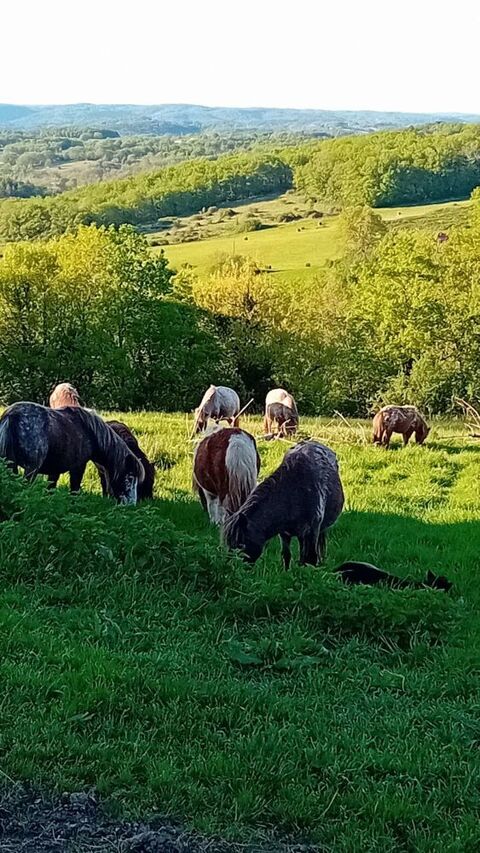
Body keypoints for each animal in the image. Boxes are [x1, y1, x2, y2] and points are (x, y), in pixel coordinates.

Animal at [0, 402, 144, 504]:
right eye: (130, 477)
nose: (131, 504)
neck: (89, 431)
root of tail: (11, 416)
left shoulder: (55, 470)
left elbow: (50, 489)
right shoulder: (78, 467)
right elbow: (74, 490)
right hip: (31, 469)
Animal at [223, 440, 344, 569]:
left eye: (241, 544)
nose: (230, 567)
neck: (295, 492)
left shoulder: (312, 532)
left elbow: (310, 559)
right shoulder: (284, 534)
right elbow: (286, 556)